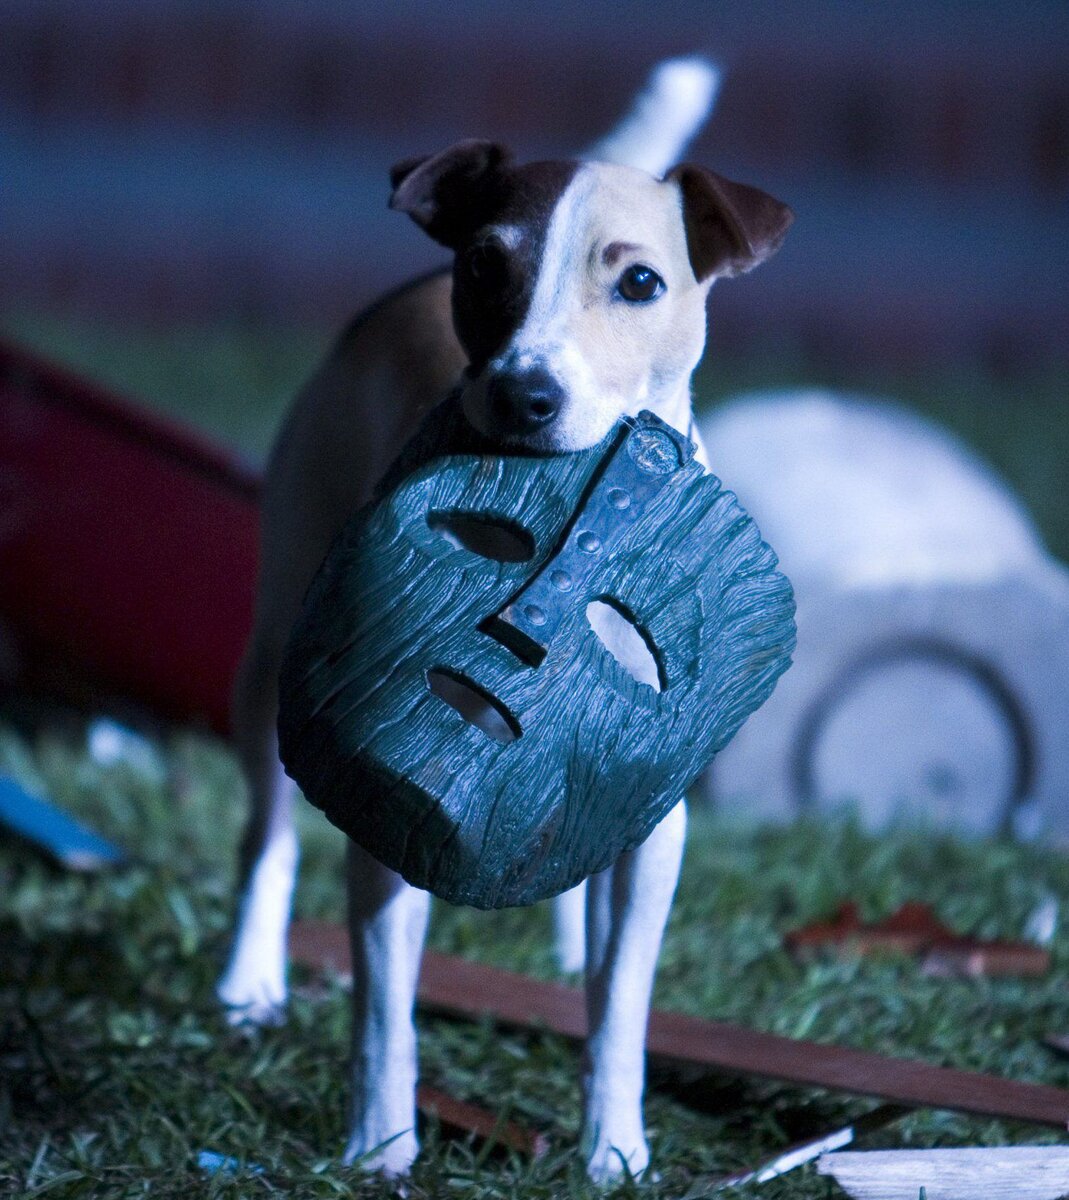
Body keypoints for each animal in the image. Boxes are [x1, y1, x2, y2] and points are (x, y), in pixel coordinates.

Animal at [217, 58, 791, 1180]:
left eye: (640, 284)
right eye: (486, 266)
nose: (524, 394)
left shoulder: (653, 818)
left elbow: (622, 1004)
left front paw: (614, 1150)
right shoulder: (391, 773)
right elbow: (384, 1000)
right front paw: (380, 1145)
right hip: (273, 637)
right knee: (267, 833)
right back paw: (249, 982)